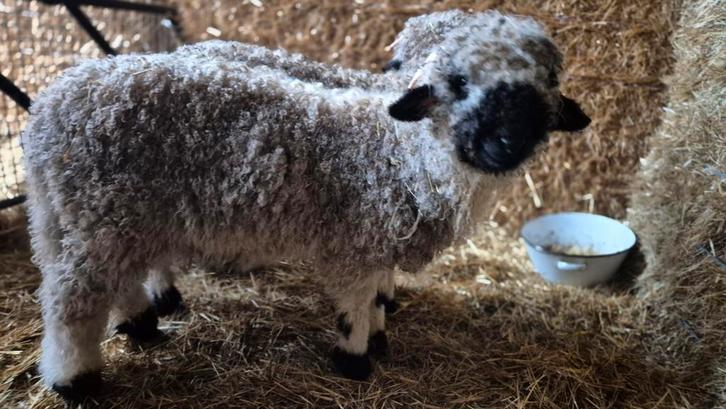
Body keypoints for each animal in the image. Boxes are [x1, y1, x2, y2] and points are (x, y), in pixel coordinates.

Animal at [23, 10, 590, 403]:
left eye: (545, 87)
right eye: (459, 83)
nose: (506, 143)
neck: (398, 149)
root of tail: (51, 107)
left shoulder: (380, 241)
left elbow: (378, 298)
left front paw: (380, 336)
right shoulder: (358, 241)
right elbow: (355, 307)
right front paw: (356, 360)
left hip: (94, 217)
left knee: (108, 278)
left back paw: (140, 323)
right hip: (105, 213)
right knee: (72, 299)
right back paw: (76, 379)